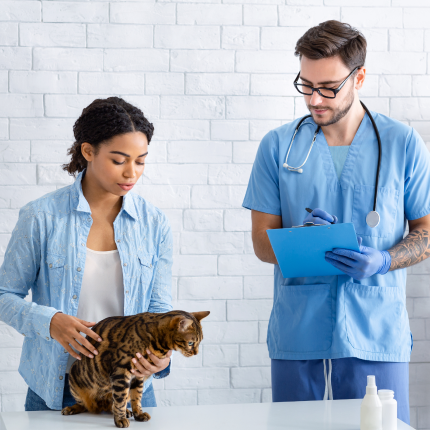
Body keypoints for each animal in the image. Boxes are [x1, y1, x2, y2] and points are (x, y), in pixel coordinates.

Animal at [61, 310, 210, 428]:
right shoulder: (121, 371)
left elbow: (136, 396)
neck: (157, 342)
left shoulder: (138, 373)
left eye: (199, 342)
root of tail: (98, 405)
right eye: (190, 343)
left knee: (110, 404)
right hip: (74, 376)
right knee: (84, 405)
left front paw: (138, 413)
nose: (196, 353)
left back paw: (125, 411)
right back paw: (71, 408)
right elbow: (120, 399)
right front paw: (120, 419)